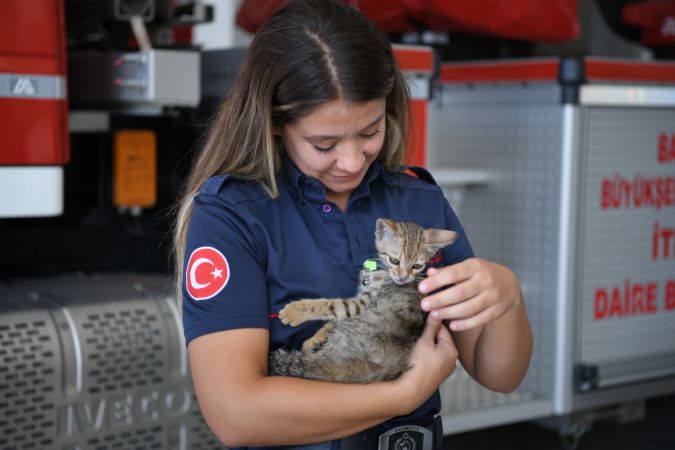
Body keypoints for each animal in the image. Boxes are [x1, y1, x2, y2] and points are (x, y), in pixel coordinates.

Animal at [270, 218, 460, 384]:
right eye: (394, 260)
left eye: (417, 266)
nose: (403, 278)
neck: (383, 274)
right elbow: (332, 322)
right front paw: (315, 339)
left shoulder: (361, 304)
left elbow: (332, 306)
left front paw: (294, 311)